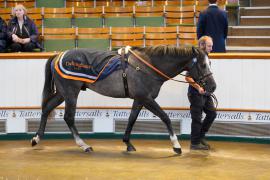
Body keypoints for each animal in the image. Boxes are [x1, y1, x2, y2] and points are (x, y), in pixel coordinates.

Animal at [30, 45, 216, 155]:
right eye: (203, 65)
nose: (212, 86)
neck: (148, 66)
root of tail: (58, 55)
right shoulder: (146, 98)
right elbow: (165, 118)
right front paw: (176, 146)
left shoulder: (139, 99)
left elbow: (132, 119)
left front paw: (128, 143)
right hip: (70, 93)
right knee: (68, 117)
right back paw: (84, 145)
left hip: (63, 93)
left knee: (47, 108)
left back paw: (36, 138)